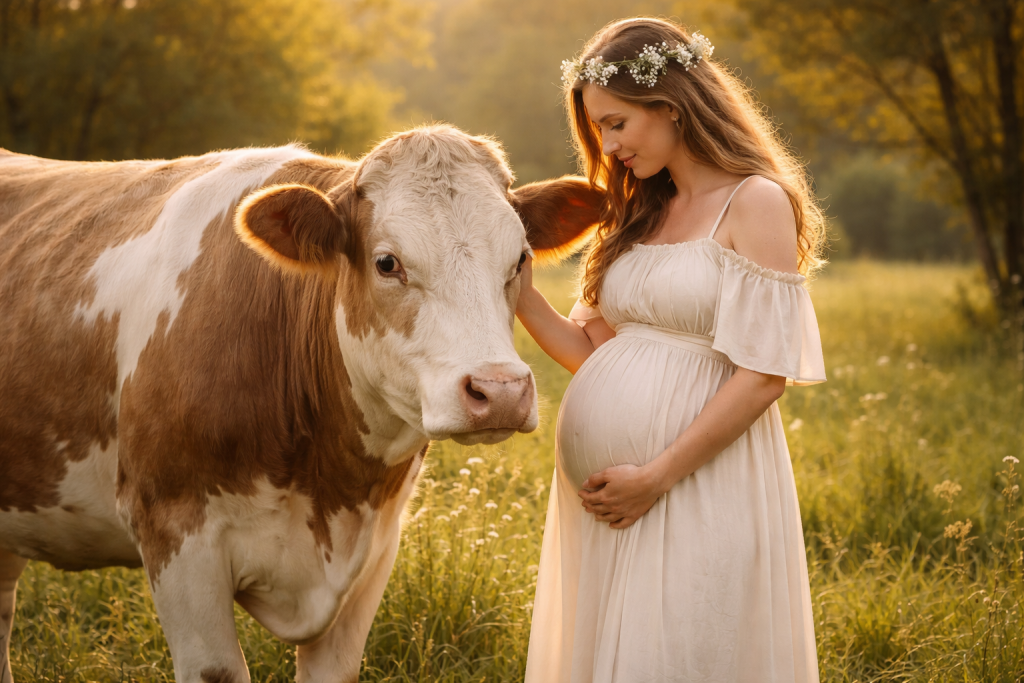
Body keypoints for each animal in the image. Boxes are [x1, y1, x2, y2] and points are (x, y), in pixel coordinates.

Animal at [0, 125, 602, 683]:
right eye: (387, 263)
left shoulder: (375, 552)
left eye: (520, 259)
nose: (499, 391)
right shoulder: (173, 528)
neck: (329, 486)